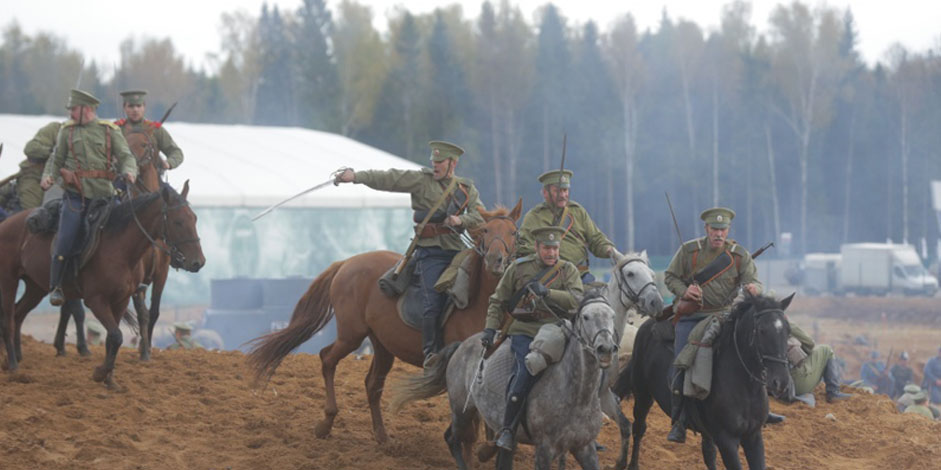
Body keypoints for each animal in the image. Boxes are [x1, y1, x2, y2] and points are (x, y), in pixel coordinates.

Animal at [0, 181, 204, 387]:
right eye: (177, 221)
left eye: (194, 218)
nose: (198, 262)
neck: (118, 247)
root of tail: (7, 223)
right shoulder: (96, 301)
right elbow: (116, 335)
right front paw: (100, 373)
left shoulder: (121, 300)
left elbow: (112, 338)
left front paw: (110, 380)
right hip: (9, 281)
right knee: (8, 320)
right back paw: (13, 365)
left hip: (35, 287)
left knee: (18, 314)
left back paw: (15, 358)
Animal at [247, 201, 523, 444]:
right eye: (486, 231)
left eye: (513, 232)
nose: (495, 260)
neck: (479, 301)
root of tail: (346, 263)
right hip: (351, 336)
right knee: (327, 358)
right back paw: (326, 423)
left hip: (381, 344)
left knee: (372, 385)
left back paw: (382, 436)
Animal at [389, 289, 619, 470]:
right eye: (586, 317)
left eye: (612, 316)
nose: (606, 349)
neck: (577, 395)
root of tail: (462, 345)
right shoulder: (545, 449)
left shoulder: (585, 448)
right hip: (461, 410)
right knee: (453, 439)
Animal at [613, 294, 794, 470]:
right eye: (762, 330)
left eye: (788, 331)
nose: (781, 382)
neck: (745, 387)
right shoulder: (726, 440)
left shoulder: (753, 436)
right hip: (643, 394)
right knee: (639, 428)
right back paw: (631, 464)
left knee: (708, 454)